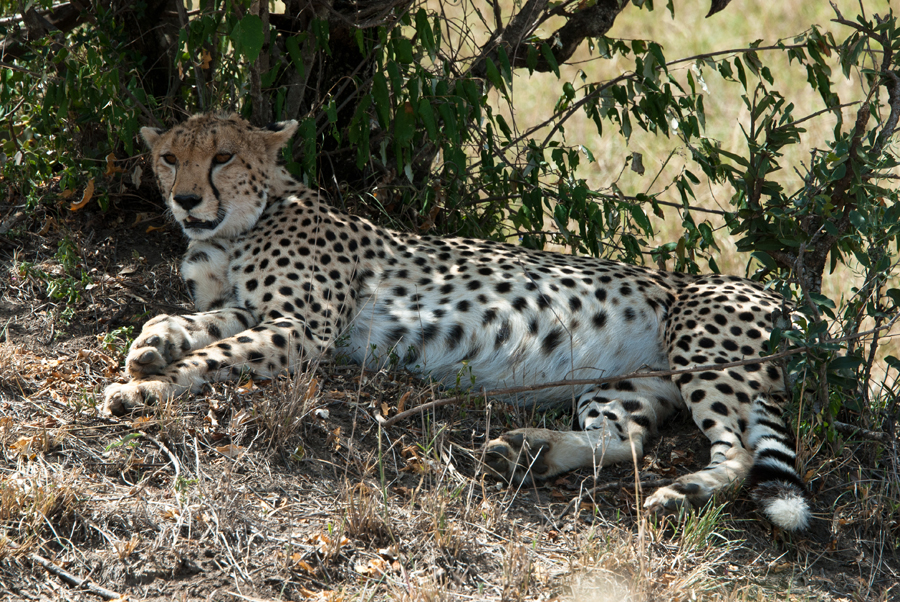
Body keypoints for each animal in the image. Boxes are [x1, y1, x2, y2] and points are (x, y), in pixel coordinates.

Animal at [103, 113, 808, 528]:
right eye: (170, 157)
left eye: (222, 156)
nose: (185, 199)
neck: (238, 225)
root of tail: (782, 299)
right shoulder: (256, 310)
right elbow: (196, 320)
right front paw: (152, 344)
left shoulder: (304, 327)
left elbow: (217, 355)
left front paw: (148, 387)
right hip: (629, 381)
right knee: (629, 438)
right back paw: (528, 453)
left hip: (700, 347)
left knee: (740, 451)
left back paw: (682, 493)